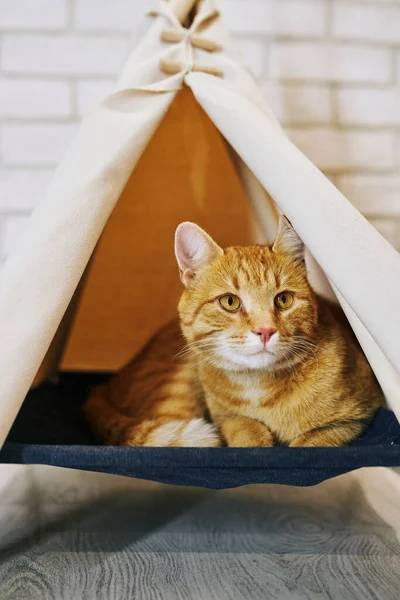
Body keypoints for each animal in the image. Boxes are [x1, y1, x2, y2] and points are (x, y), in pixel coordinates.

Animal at [82, 218, 384, 448]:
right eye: (230, 302)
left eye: (284, 299)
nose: (265, 330)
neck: (260, 389)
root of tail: (102, 388)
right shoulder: (225, 419)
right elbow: (244, 429)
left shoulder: (353, 418)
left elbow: (310, 444)